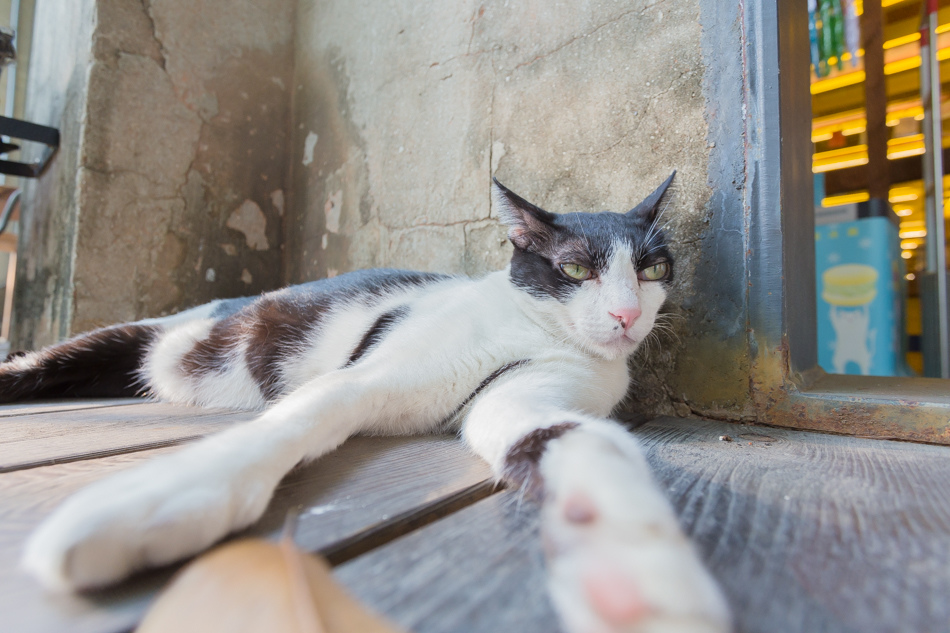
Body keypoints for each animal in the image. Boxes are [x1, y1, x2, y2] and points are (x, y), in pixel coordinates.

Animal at [11, 173, 732, 632]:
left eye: (653, 270)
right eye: (577, 269)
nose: (626, 315)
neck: (533, 331)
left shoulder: (523, 397)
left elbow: (561, 435)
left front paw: (631, 572)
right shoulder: (365, 377)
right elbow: (301, 415)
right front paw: (160, 498)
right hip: (131, 341)